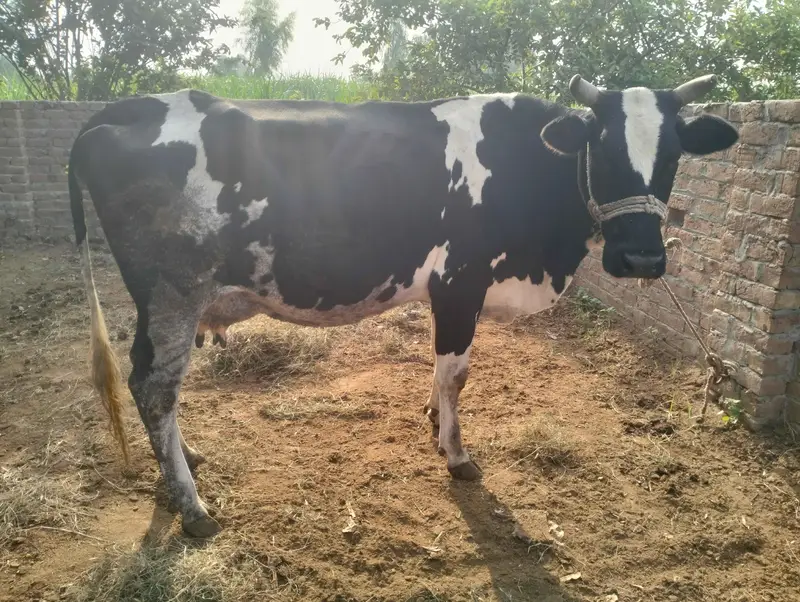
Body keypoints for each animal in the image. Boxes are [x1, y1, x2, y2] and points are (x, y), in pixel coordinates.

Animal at [68, 74, 738, 537]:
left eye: (674, 154)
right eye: (602, 147)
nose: (642, 259)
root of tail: (127, 107)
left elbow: (439, 372)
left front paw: (434, 422)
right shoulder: (462, 281)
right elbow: (456, 372)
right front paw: (457, 453)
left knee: (153, 386)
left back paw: (187, 458)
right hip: (173, 293)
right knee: (154, 386)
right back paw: (193, 507)